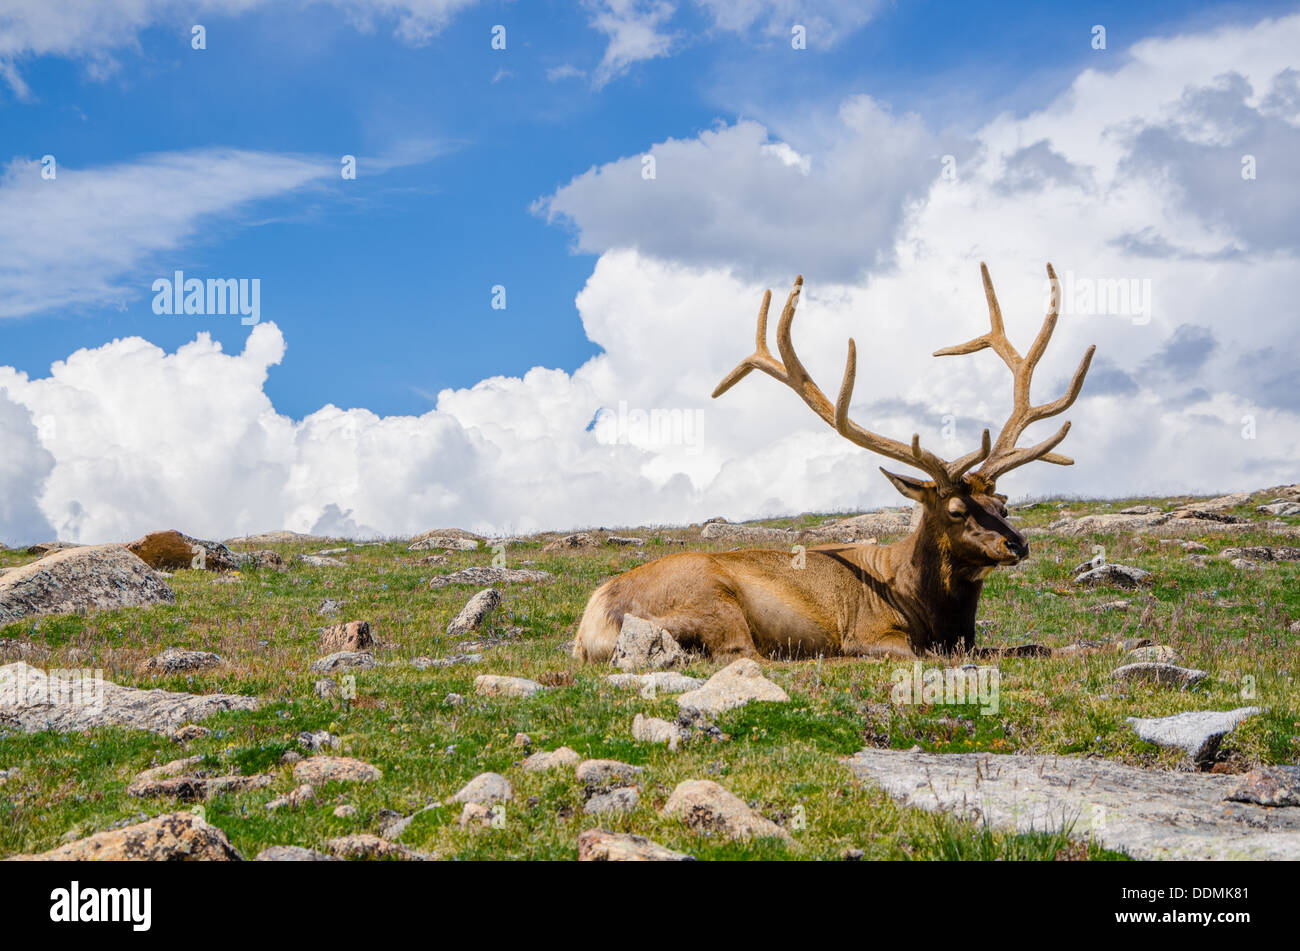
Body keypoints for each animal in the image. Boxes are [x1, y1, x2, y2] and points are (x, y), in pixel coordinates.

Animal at [573, 263, 1095, 663]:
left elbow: (1033, 646)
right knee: (744, 653)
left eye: (1003, 506)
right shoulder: (871, 634)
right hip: (714, 604)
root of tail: (592, 626)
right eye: (956, 510)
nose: (1017, 544)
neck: (931, 610)